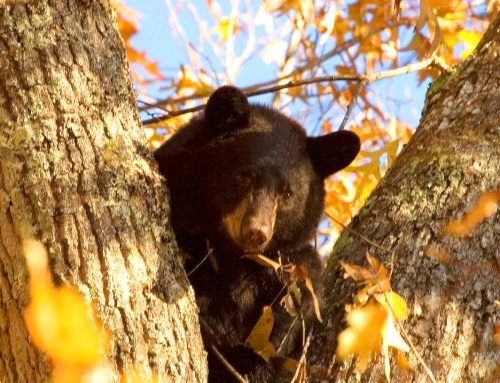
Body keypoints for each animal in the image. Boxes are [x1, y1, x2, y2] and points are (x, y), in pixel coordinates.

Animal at [155, 87, 360, 383]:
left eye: (287, 194)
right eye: (244, 176)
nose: (256, 231)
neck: (229, 253)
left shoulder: (287, 268)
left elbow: (290, 307)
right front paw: (216, 313)